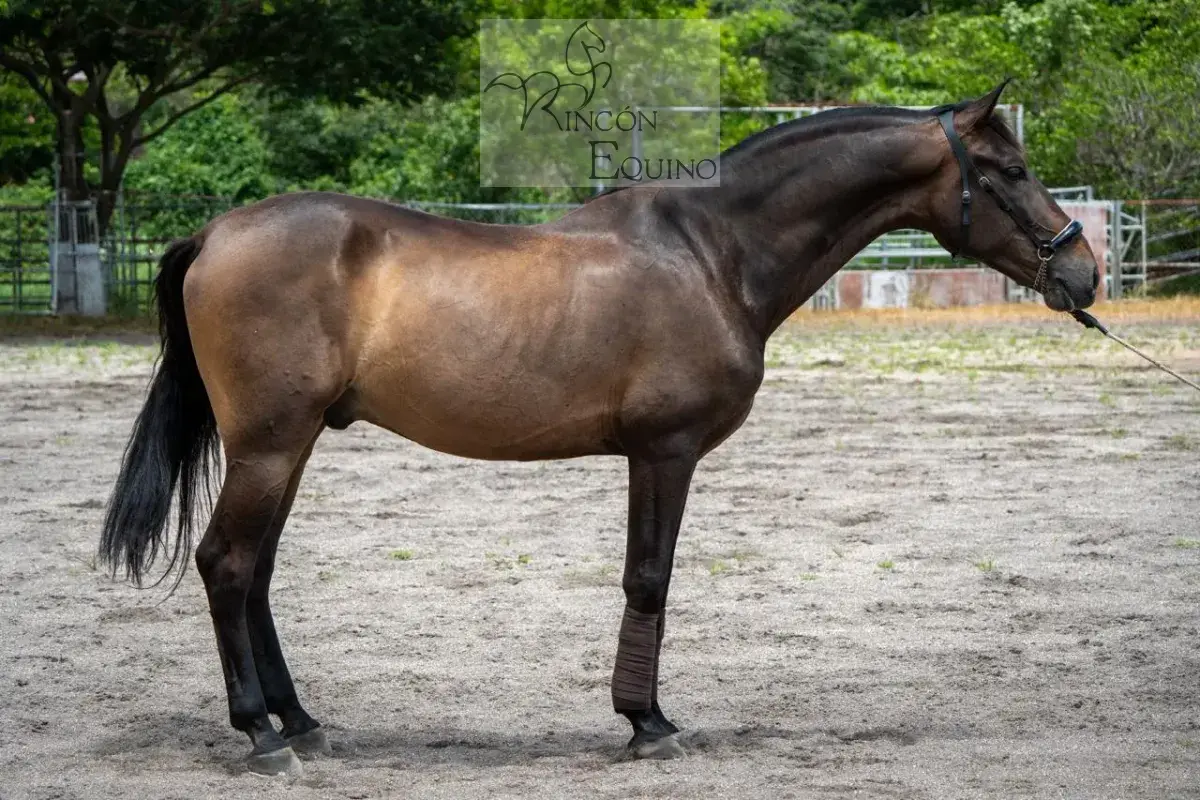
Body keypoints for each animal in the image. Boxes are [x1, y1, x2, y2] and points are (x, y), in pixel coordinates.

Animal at [100, 82, 1098, 776]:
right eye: (1009, 172)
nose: (1083, 271)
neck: (710, 251)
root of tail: (216, 234)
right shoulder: (665, 451)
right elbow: (648, 579)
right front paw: (646, 723)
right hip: (270, 444)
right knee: (228, 565)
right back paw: (262, 736)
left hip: (290, 444)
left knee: (257, 571)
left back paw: (300, 720)